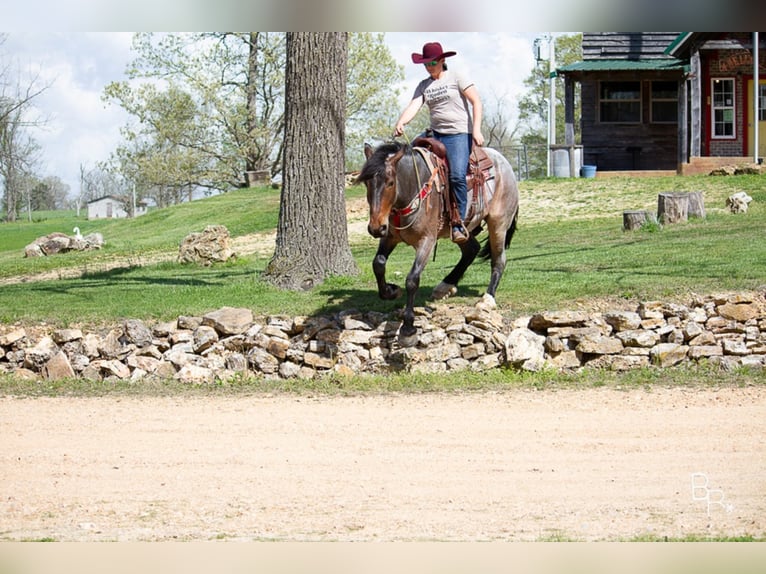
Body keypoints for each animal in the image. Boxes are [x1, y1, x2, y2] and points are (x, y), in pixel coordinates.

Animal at [356, 143, 520, 352]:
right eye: (367, 183)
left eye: (390, 182)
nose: (376, 227)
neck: (412, 188)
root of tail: (504, 163)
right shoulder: (390, 237)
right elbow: (378, 263)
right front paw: (391, 291)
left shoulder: (427, 240)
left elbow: (412, 280)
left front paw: (408, 329)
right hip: (462, 230)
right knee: (471, 250)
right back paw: (445, 286)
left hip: (498, 223)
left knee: (499, 259)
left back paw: (487, 299)